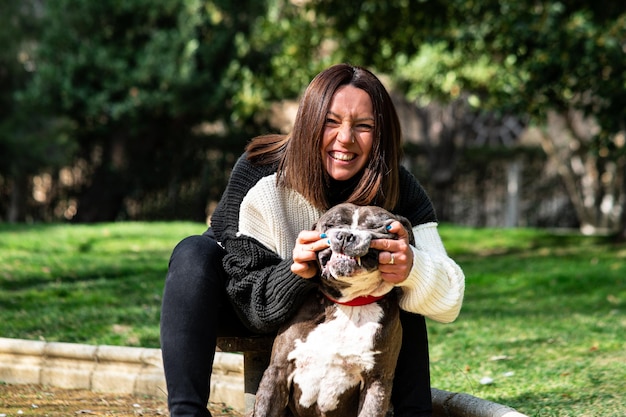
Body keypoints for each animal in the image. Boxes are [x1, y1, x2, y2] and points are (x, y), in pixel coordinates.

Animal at [251, 204, 412, 416]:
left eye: (376, 226)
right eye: (331, 225)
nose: (345, 236)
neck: (348, 305)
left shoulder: (377, 381)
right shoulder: (278, 370)